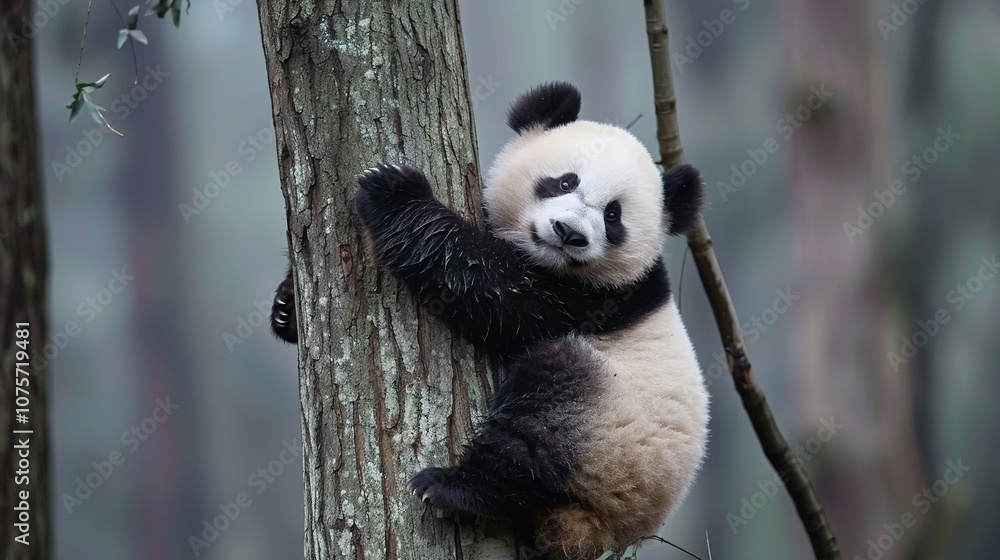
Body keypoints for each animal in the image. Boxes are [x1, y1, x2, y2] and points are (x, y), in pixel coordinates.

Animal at [271, 82, 709, 559]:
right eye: (565, 181)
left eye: (613, 215)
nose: (569, 233)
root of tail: (609, 529)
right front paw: (286, 307)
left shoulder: (591, 298)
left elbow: (493, 292)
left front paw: (393, 191)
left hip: (615, 437)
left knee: (546, 413)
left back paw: (458, 488)